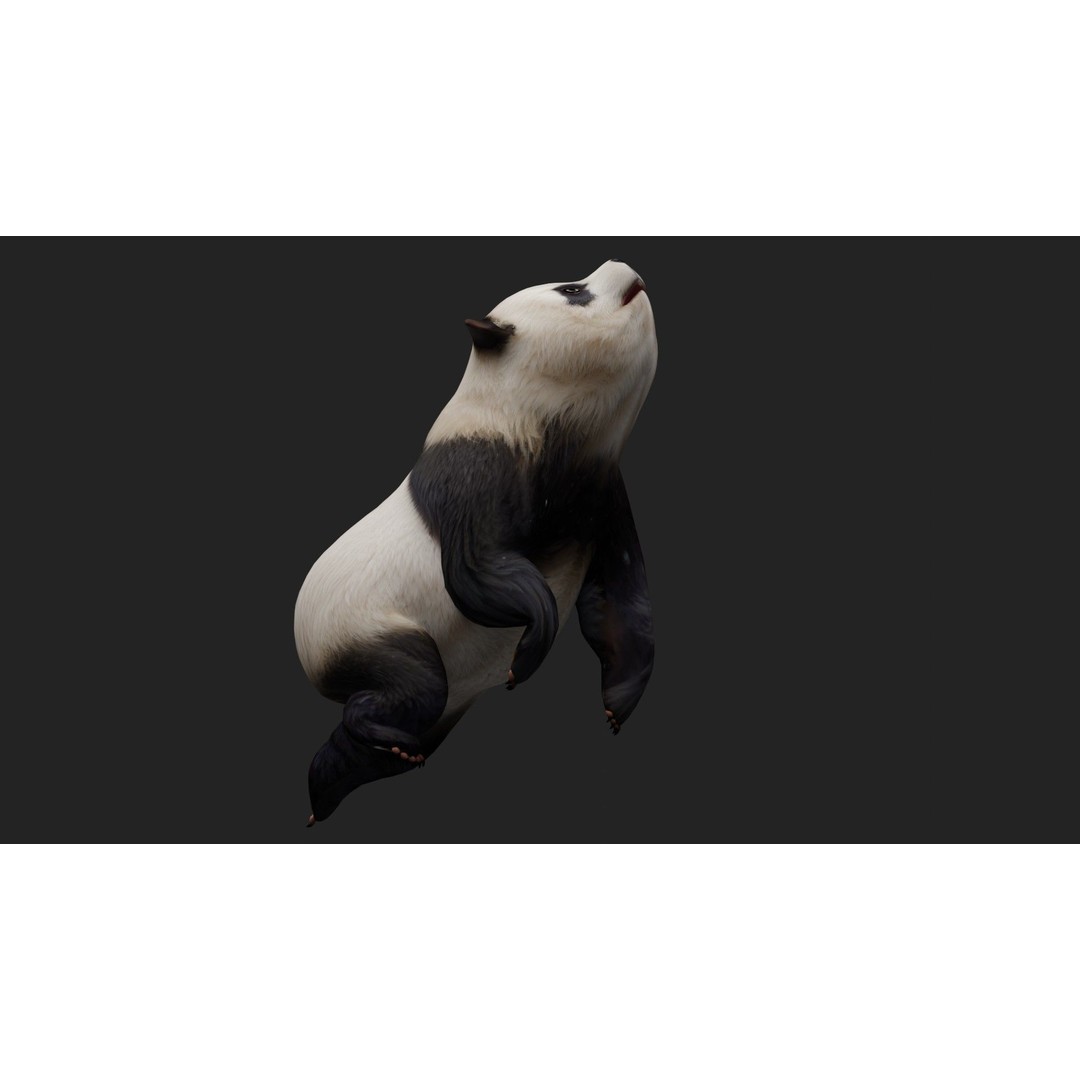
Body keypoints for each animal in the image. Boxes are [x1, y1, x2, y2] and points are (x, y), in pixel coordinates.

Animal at [295, 259, 658, 824]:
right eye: (572, 290)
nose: (624, 265)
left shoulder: (599, 494)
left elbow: (621, 593)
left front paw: (617, 704)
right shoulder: (477, 467)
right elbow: (472, 571)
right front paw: (527, 653)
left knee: (393, 731)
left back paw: (339, 784)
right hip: (358, 629)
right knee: (412, 682)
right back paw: (385, 737)